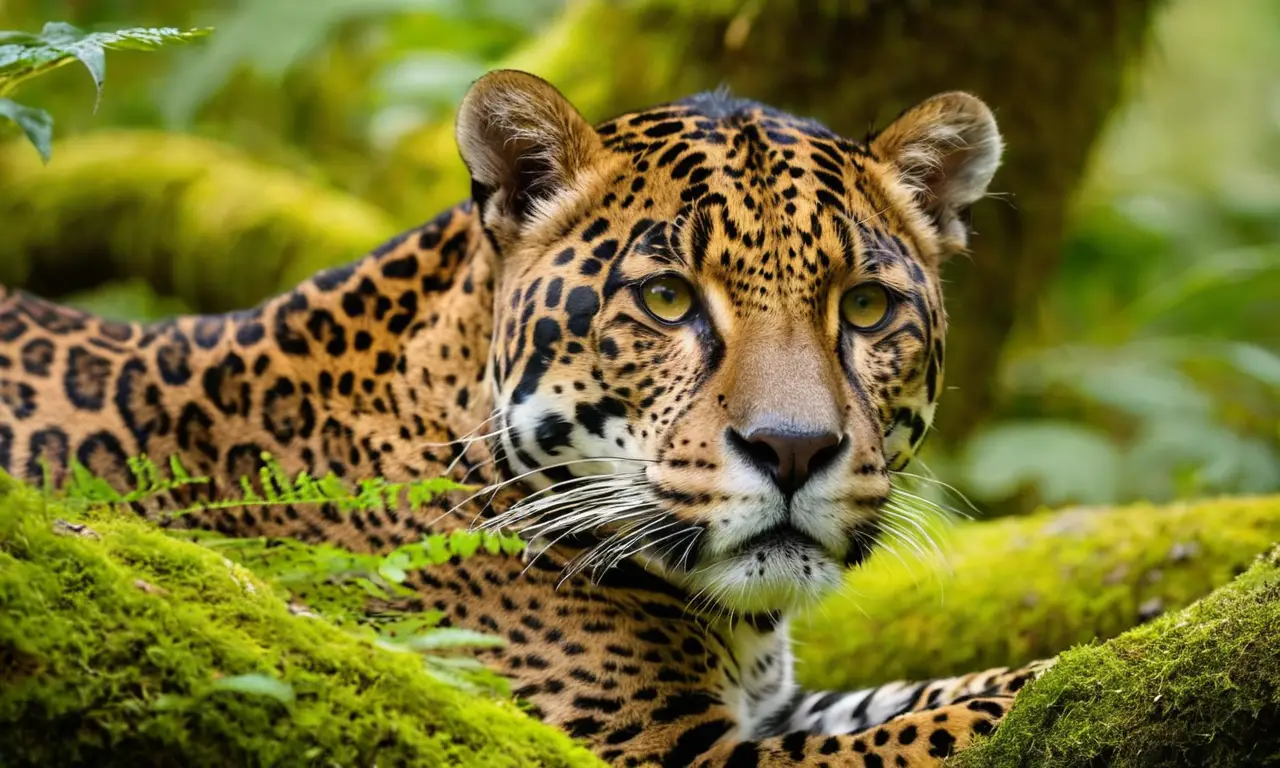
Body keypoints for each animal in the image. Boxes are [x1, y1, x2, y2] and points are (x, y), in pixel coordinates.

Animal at [0, 70, 1054, 766]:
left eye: (867, 309)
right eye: (667, 299)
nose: (792, 451)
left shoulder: (775, 708)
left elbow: (923, 694)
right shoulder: (645, 750)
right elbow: (945, 721)